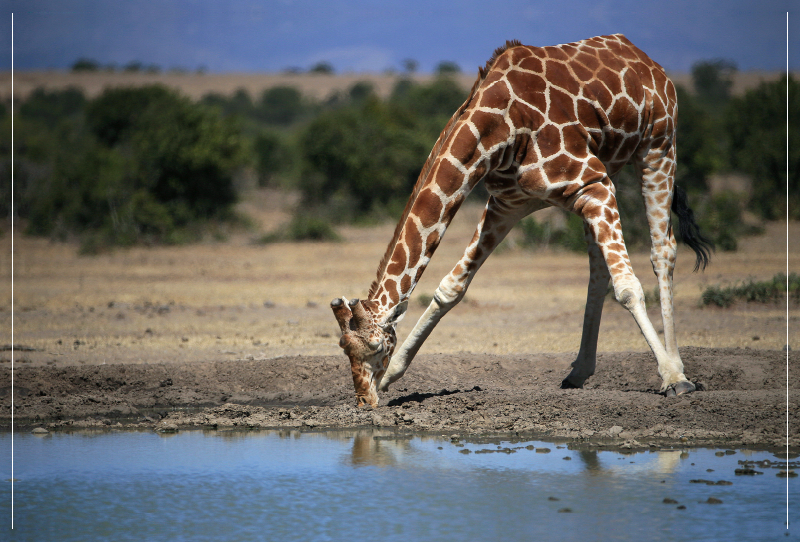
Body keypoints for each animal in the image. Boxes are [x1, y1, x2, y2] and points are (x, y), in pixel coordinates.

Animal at [330, 34, 712, 408]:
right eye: (343, 348)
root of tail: (646, 59)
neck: (499, 129)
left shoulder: (592, 183)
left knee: (663, 251)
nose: (364, 400)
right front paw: (394, 374)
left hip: (658, 146)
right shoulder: (509, 204)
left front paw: (672, 378)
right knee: (598, 269)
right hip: (608, 171)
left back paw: (676, 367)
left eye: (376, 346)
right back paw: (578, 372)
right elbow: (450, 288)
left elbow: (629, 288)